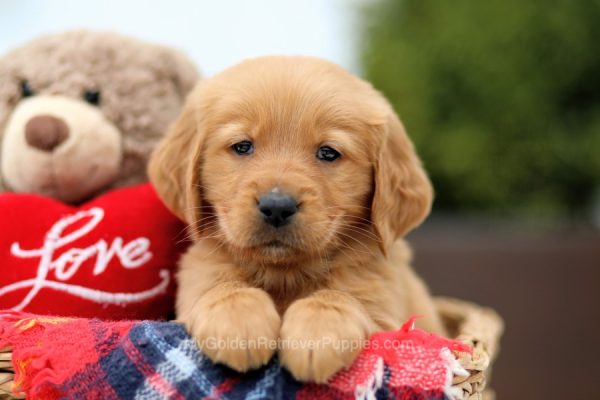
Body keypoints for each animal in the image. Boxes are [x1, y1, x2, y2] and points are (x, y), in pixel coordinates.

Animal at [149, 54, 446, 382]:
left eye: (328, 152)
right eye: (242, 146)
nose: (277, 206)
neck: (285, 276)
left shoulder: (387, 310)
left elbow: (343, 297)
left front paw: (317, 334)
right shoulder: (198, 276)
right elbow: (220, 287)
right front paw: (239, 322)